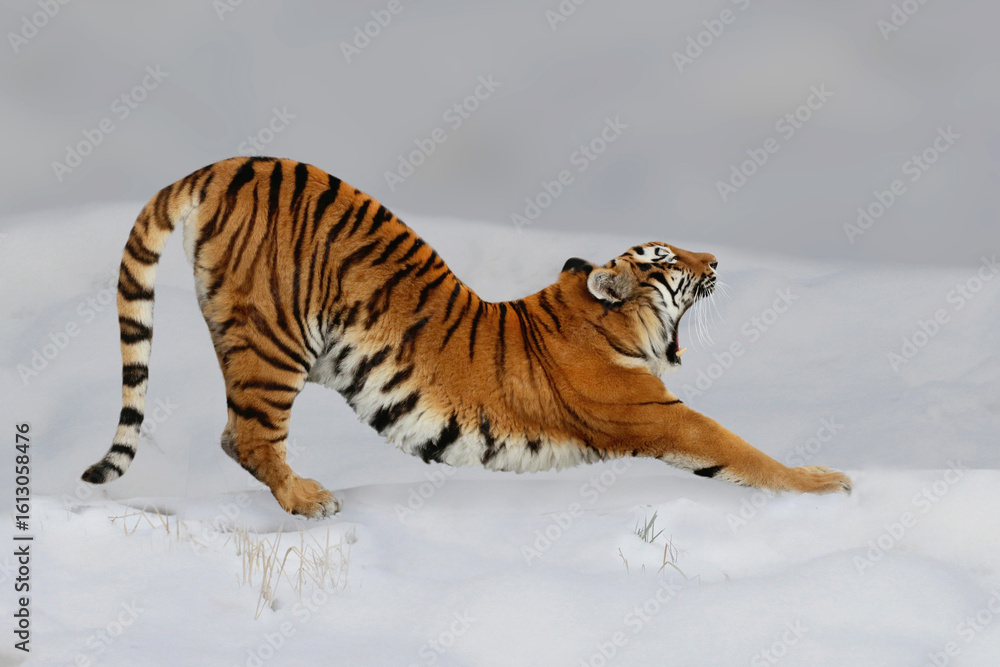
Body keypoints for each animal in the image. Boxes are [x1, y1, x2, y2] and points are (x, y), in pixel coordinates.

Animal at [81, 156, 852, 517]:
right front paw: (826, 480)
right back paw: (309, 499)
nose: (715, 260)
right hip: (273, 340)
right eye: (665, 259)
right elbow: (741, 450)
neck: (603, 317)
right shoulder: (658, 414)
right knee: (245, 435)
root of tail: (228, 164)